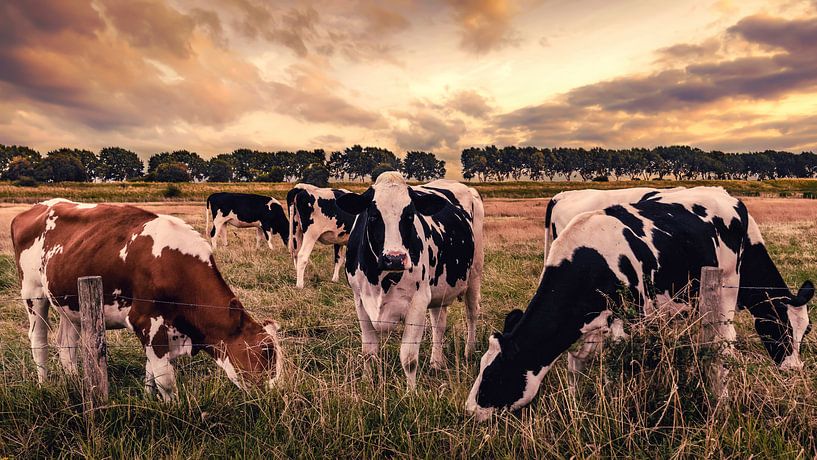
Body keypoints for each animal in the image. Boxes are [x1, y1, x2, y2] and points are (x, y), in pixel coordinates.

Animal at [11, 198, 284, 401]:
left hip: (70, 302)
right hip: (33, 293)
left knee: (66, 344)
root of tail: (34, 208)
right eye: (266, 351)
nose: (276, 394)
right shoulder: (147, 321)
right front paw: (172, 410)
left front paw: (148, 398)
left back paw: (75, 383)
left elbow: (150, 371)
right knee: (38, 341)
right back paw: (44, 384)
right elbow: (165, 379)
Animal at [336, 172, 485, 389]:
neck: (381, 280)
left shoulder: (418, 301)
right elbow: (369, 351)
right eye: (373, 216)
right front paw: (366, 383)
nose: (395, 258)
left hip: (474, 274)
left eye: (409, 215)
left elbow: (408, 358)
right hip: (439, 289)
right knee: (439, 324)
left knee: (472, 313)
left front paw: (411, 392)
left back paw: (469, 351)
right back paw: (436, 362)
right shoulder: (360, 300)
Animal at [466, 187, 814, 421]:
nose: (469, 410)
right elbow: (577, 362)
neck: (590, 258)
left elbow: (622, 370)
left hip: (724, 287)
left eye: (494, 375)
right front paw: (576, 401)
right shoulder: (594, 324)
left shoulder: (630, 323)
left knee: (724, 342)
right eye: (484, 370)